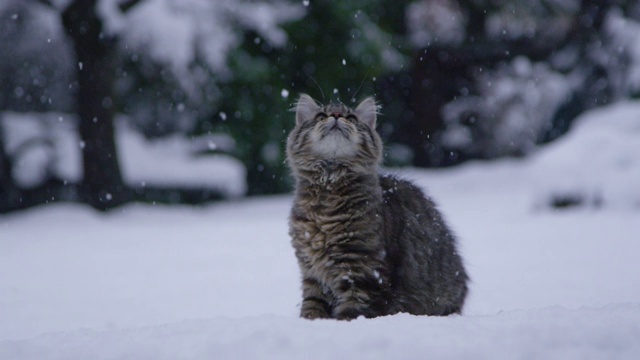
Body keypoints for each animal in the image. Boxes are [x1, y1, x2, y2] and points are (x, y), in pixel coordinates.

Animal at [288, 93, 468, 320]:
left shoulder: (363, 272)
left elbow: (352, 311)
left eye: (351, 117)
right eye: (321, 115)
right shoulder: (312, 272)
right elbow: (312, 306)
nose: (336, 115)